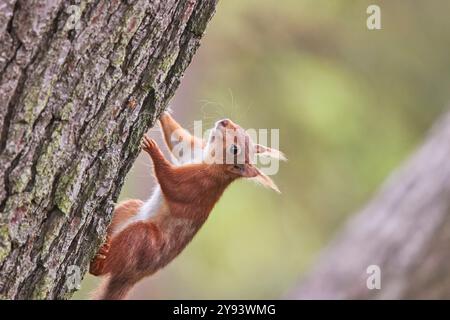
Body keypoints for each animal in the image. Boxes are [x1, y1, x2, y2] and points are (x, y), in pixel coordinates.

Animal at [89, 111, 284, 298]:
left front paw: (153, 149)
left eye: (235, 149)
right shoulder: (193, 150)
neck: (208, 159)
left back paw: (98, 263)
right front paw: (163, 112)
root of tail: (134, 277)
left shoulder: (198, 183)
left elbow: (172, 183)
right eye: (240, 129)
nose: (225, 122)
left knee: (106, 265)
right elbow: (178, 139)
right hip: (129, 209)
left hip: (145, 243)